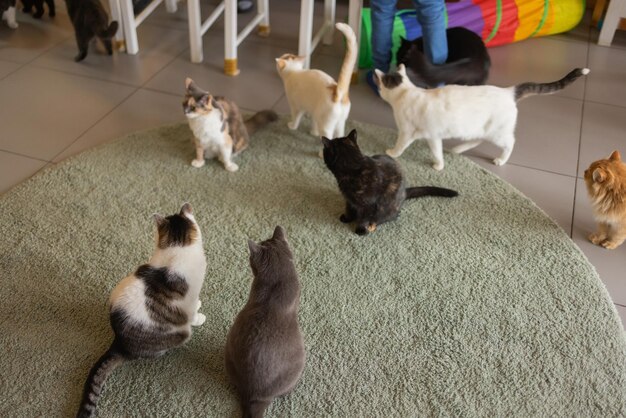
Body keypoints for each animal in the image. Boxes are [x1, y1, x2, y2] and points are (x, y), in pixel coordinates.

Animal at [76, 203, 207, 418]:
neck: (177, 246)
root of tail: (119, 343)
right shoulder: (189, 297)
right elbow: (193, 312)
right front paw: (199, 315)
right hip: (179, 335)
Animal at [320, 129, 456, 235]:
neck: (354, 168)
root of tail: (404, 193)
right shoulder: (348, 199)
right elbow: (349, 208)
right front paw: (347, 218)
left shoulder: (368, 205)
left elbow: (364, 218)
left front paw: (360, 229)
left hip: (388, 207)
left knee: (388, 216)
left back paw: (372, 225)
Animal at [372, 64, 588, 171]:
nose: (378, 90)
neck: (406, 93)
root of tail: (509, 91)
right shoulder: (434, 136)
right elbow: (437, 152)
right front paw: (440, 165)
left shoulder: (407, 132)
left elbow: (401, 146)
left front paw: (392, 153)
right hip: (478, 129)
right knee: (477, 140)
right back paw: (458, 149)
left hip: (497, 133)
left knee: (510, 143)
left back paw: (501, 160)